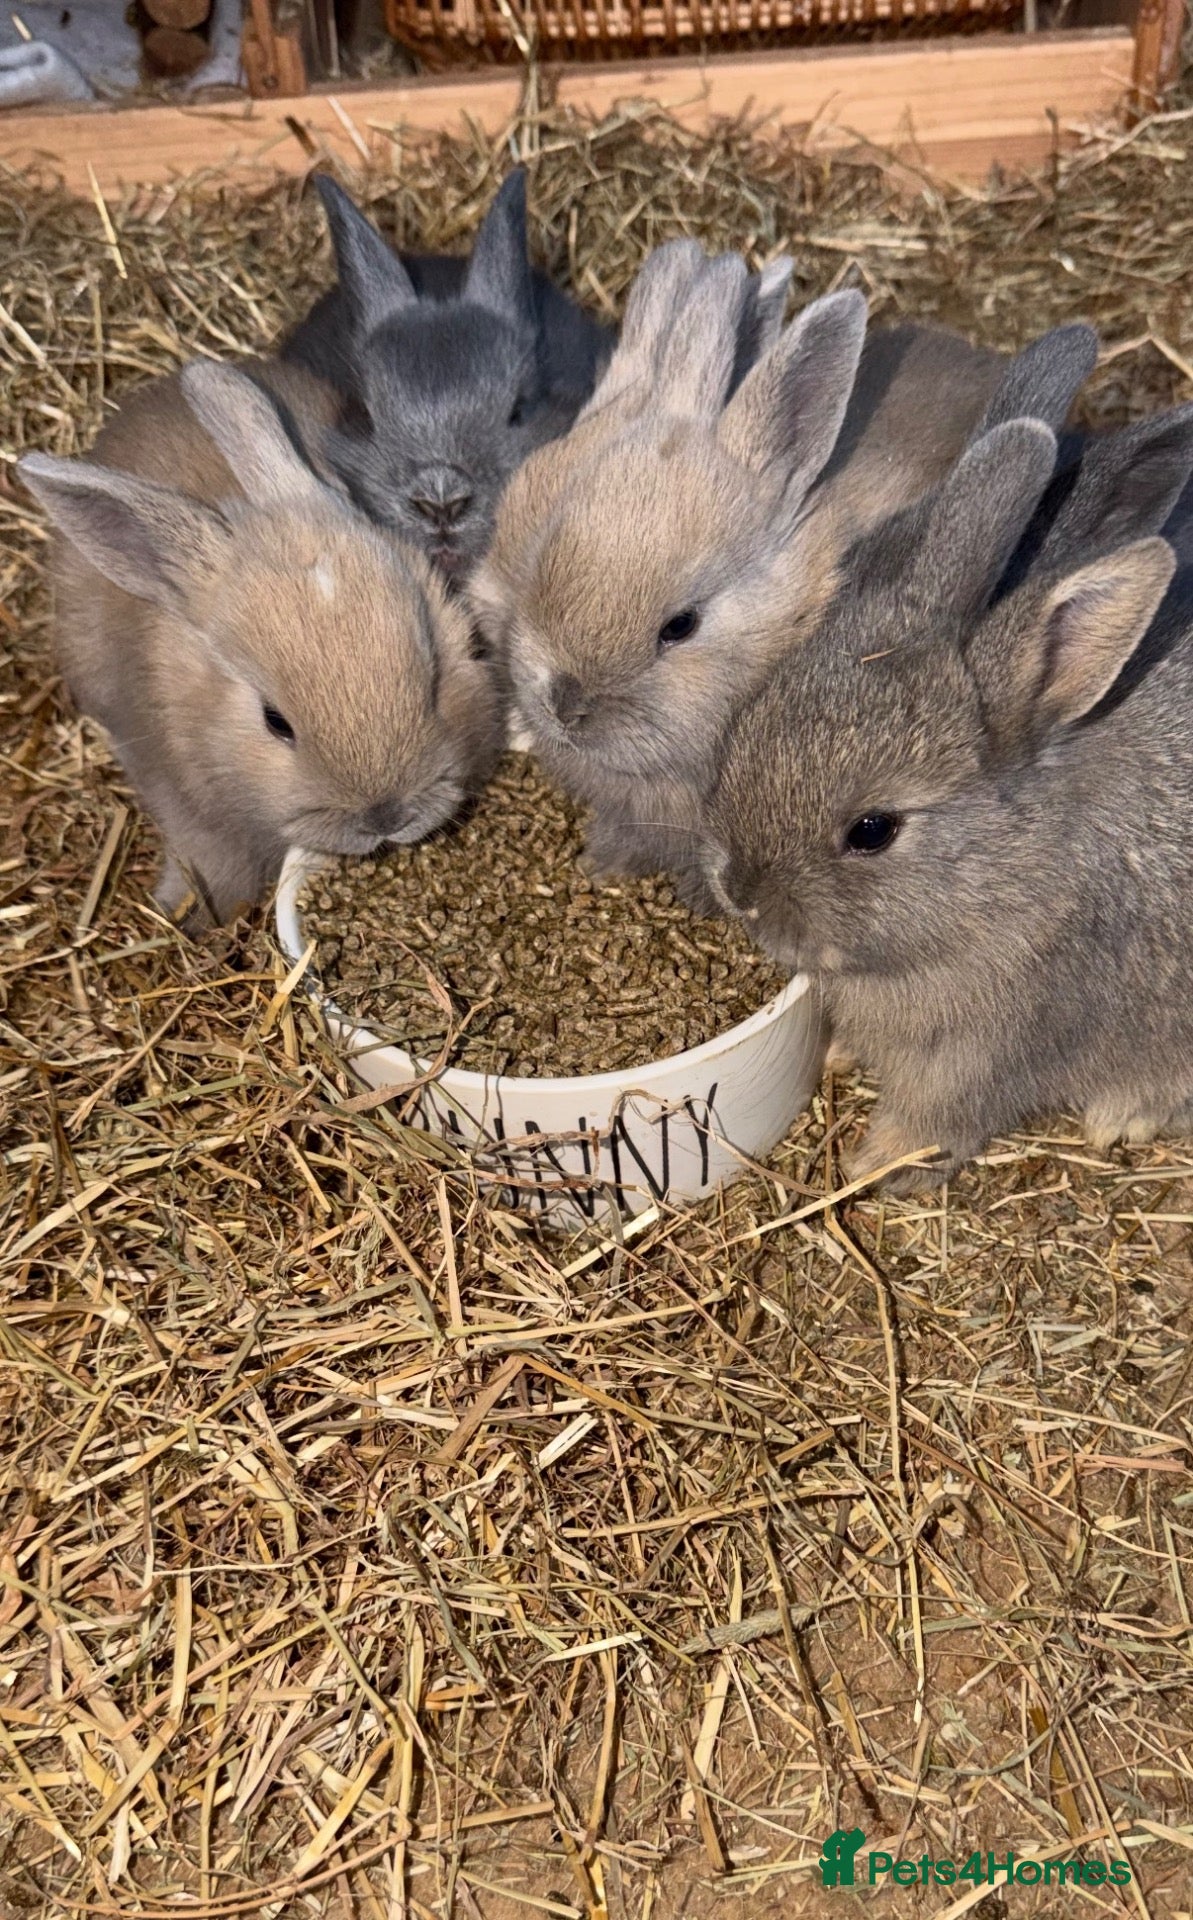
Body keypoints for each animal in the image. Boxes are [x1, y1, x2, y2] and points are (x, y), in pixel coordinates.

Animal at [704, 396, 1193, 1192]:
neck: (1010, 877)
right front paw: (837, 1055)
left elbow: (937, 1120)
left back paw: (1122, 1115)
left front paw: (873, 1163)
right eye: (753, 717)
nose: (738, 891)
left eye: (872, 830)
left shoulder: (984, 1054)